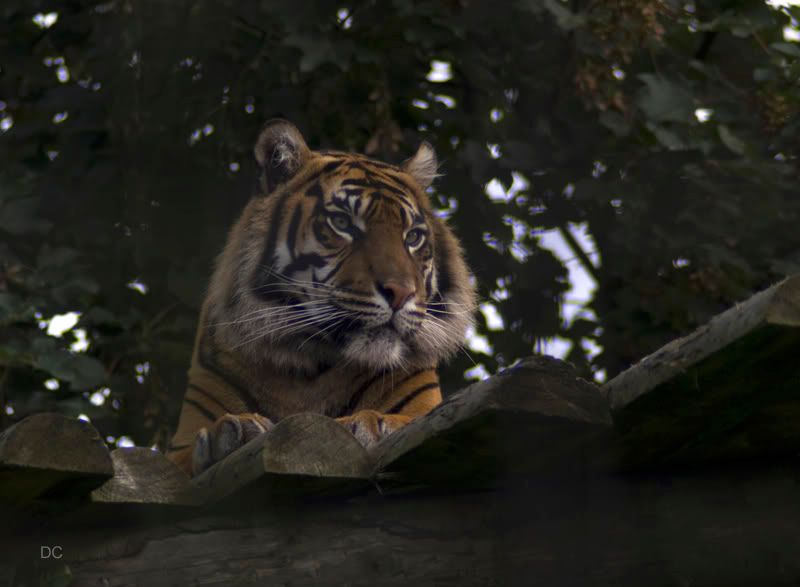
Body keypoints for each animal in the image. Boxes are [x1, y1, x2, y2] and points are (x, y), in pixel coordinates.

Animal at [165, 119, 472, 478]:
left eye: (412, 237)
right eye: (341, 223)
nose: (400, 293)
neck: (310, 364)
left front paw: (376, 423)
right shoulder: (177, 447)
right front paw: (228, 433)